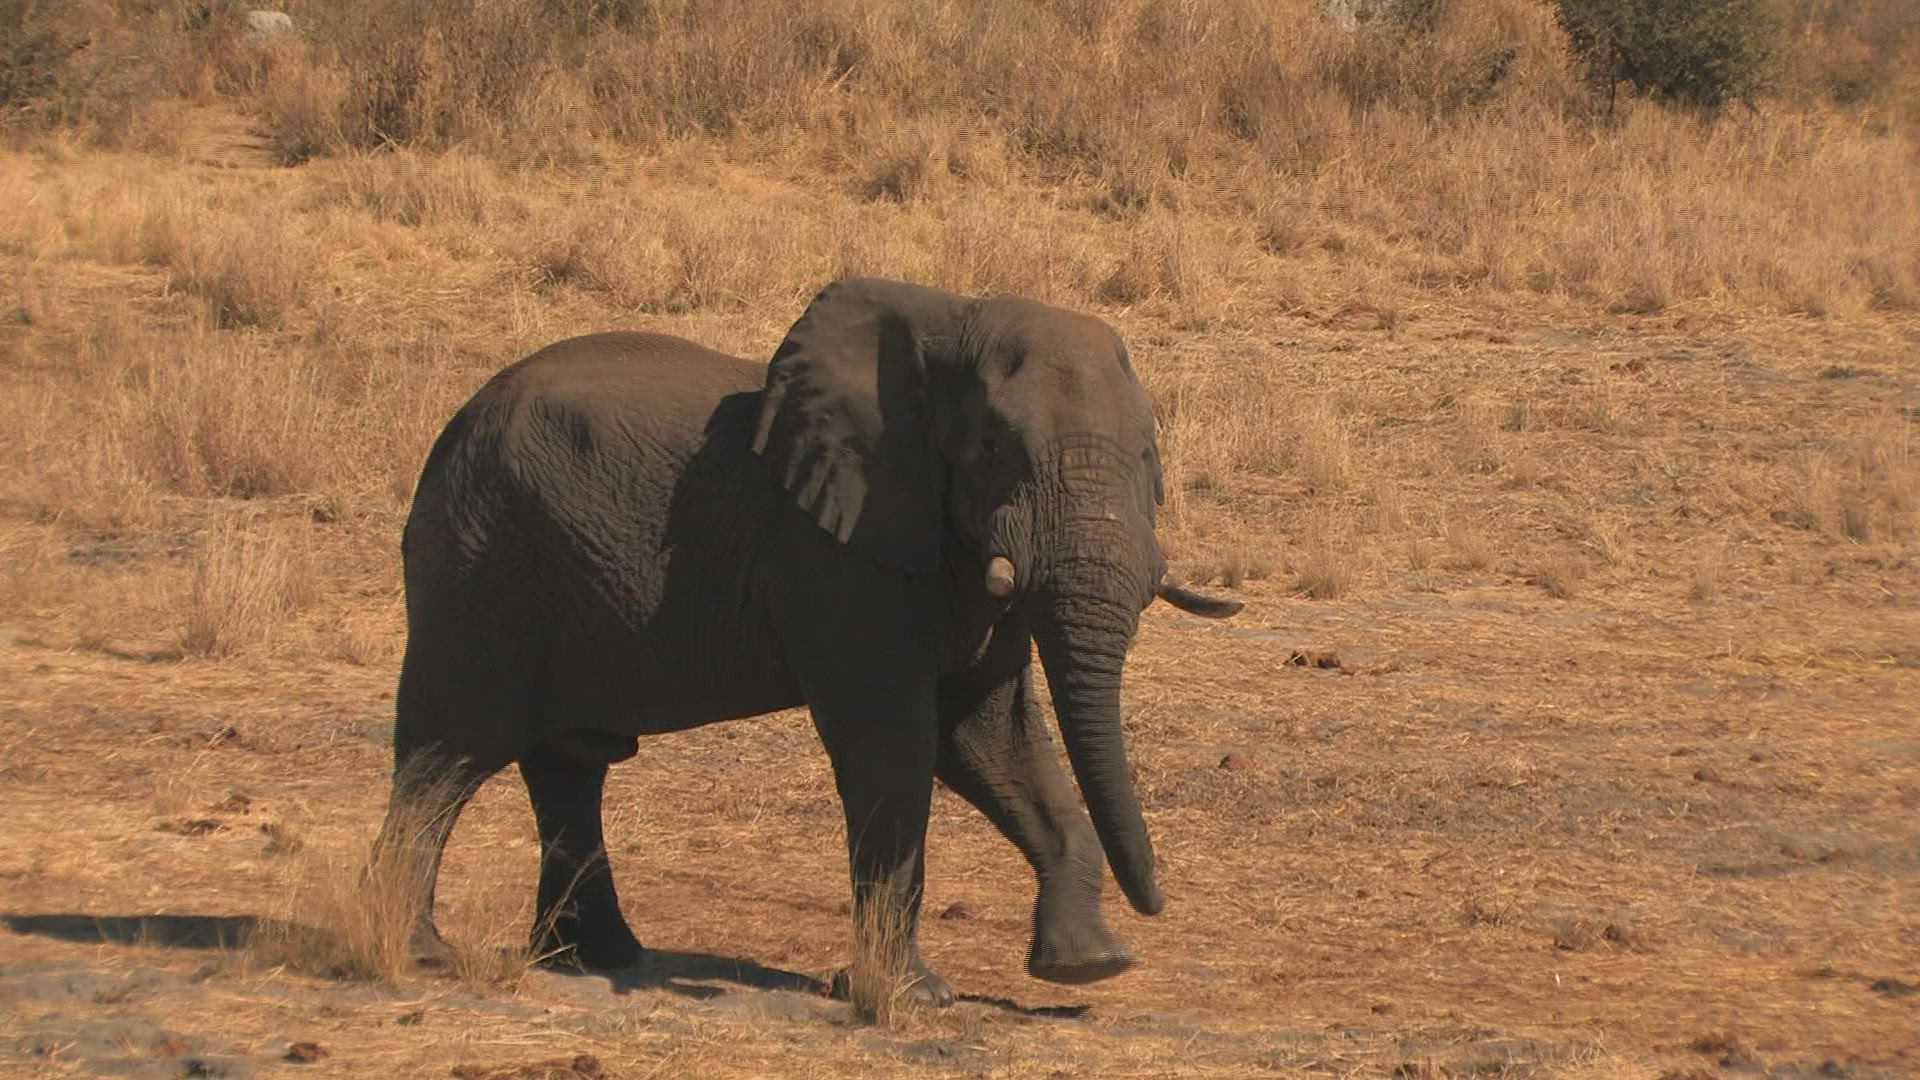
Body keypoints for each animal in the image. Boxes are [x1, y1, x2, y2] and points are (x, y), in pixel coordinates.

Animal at [373, 277, 1242, 1005]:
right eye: (994, 449)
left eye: (1148, 455)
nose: (1158, 901)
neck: (946, 323)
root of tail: (452, 430)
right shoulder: (833, 554)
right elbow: (896, 742)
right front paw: (913, 997)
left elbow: (994, 738)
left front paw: (1088, 966)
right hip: (483, 567)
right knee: (449, 752)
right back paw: (416, 952)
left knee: (567, 764)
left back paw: (598, 959)